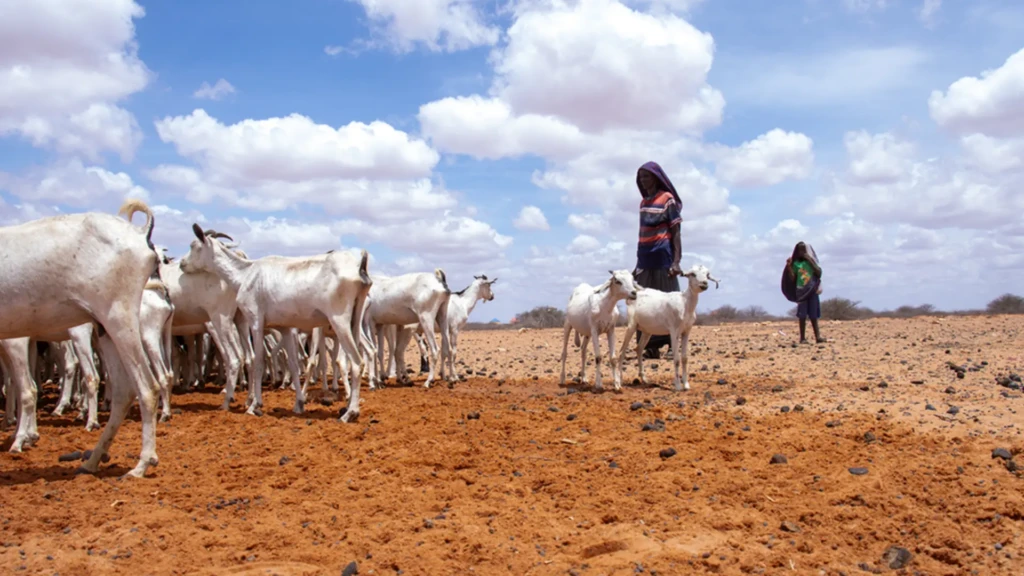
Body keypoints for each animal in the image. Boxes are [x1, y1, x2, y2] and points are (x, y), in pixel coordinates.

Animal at [0, 199, 163, 478]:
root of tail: (140, 234)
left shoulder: (15, 338)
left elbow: (26, 389)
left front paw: (21, 438)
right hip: (104, 328)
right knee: (123, 391)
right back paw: (92, 460)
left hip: (118, 318)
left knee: (147, 387)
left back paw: (141, 464)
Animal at [180, 225, 371, 421]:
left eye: (194, 245)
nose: (182, 263)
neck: (246, 274)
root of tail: (359, 266)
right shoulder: (284, 328)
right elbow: (293, 363)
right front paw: (298, 404)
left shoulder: (255, 321)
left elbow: (257, 361)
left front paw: (254, 405)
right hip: (354, 320)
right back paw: (347, 406)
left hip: (339, 321)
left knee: (357, 362)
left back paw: (350, 413)